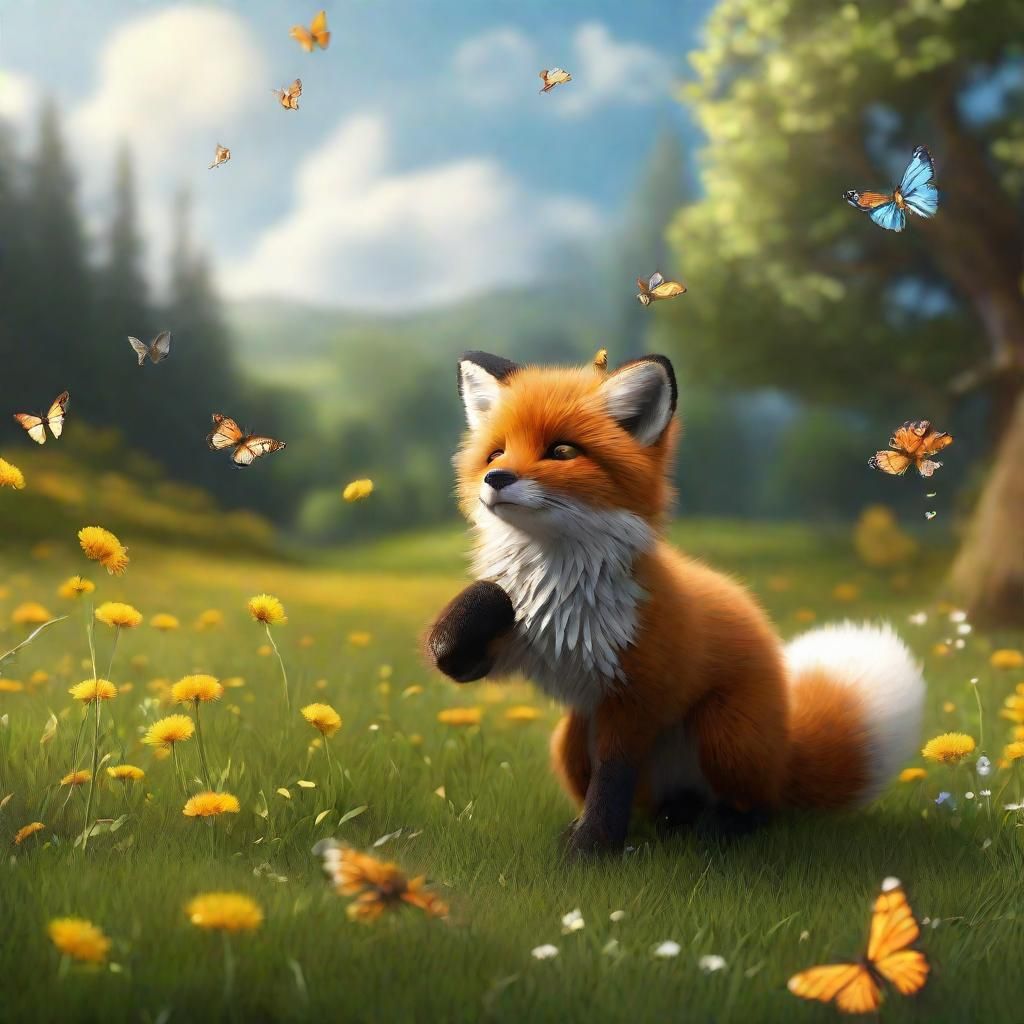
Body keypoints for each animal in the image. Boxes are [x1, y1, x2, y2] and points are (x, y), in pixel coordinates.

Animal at [427, 351, 926, 857]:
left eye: (562, 451)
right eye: (495, 454)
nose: (496, 478)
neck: (563, 593)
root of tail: (785, 747)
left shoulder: (636, 693)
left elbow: (612, 780)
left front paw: (589, 850)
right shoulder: (510, 649)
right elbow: (458, 645)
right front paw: (495, 593)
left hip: (724, 733)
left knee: (760, 805)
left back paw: (722, 828)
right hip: (571, 741)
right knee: (663, 804)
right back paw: (673, 818)